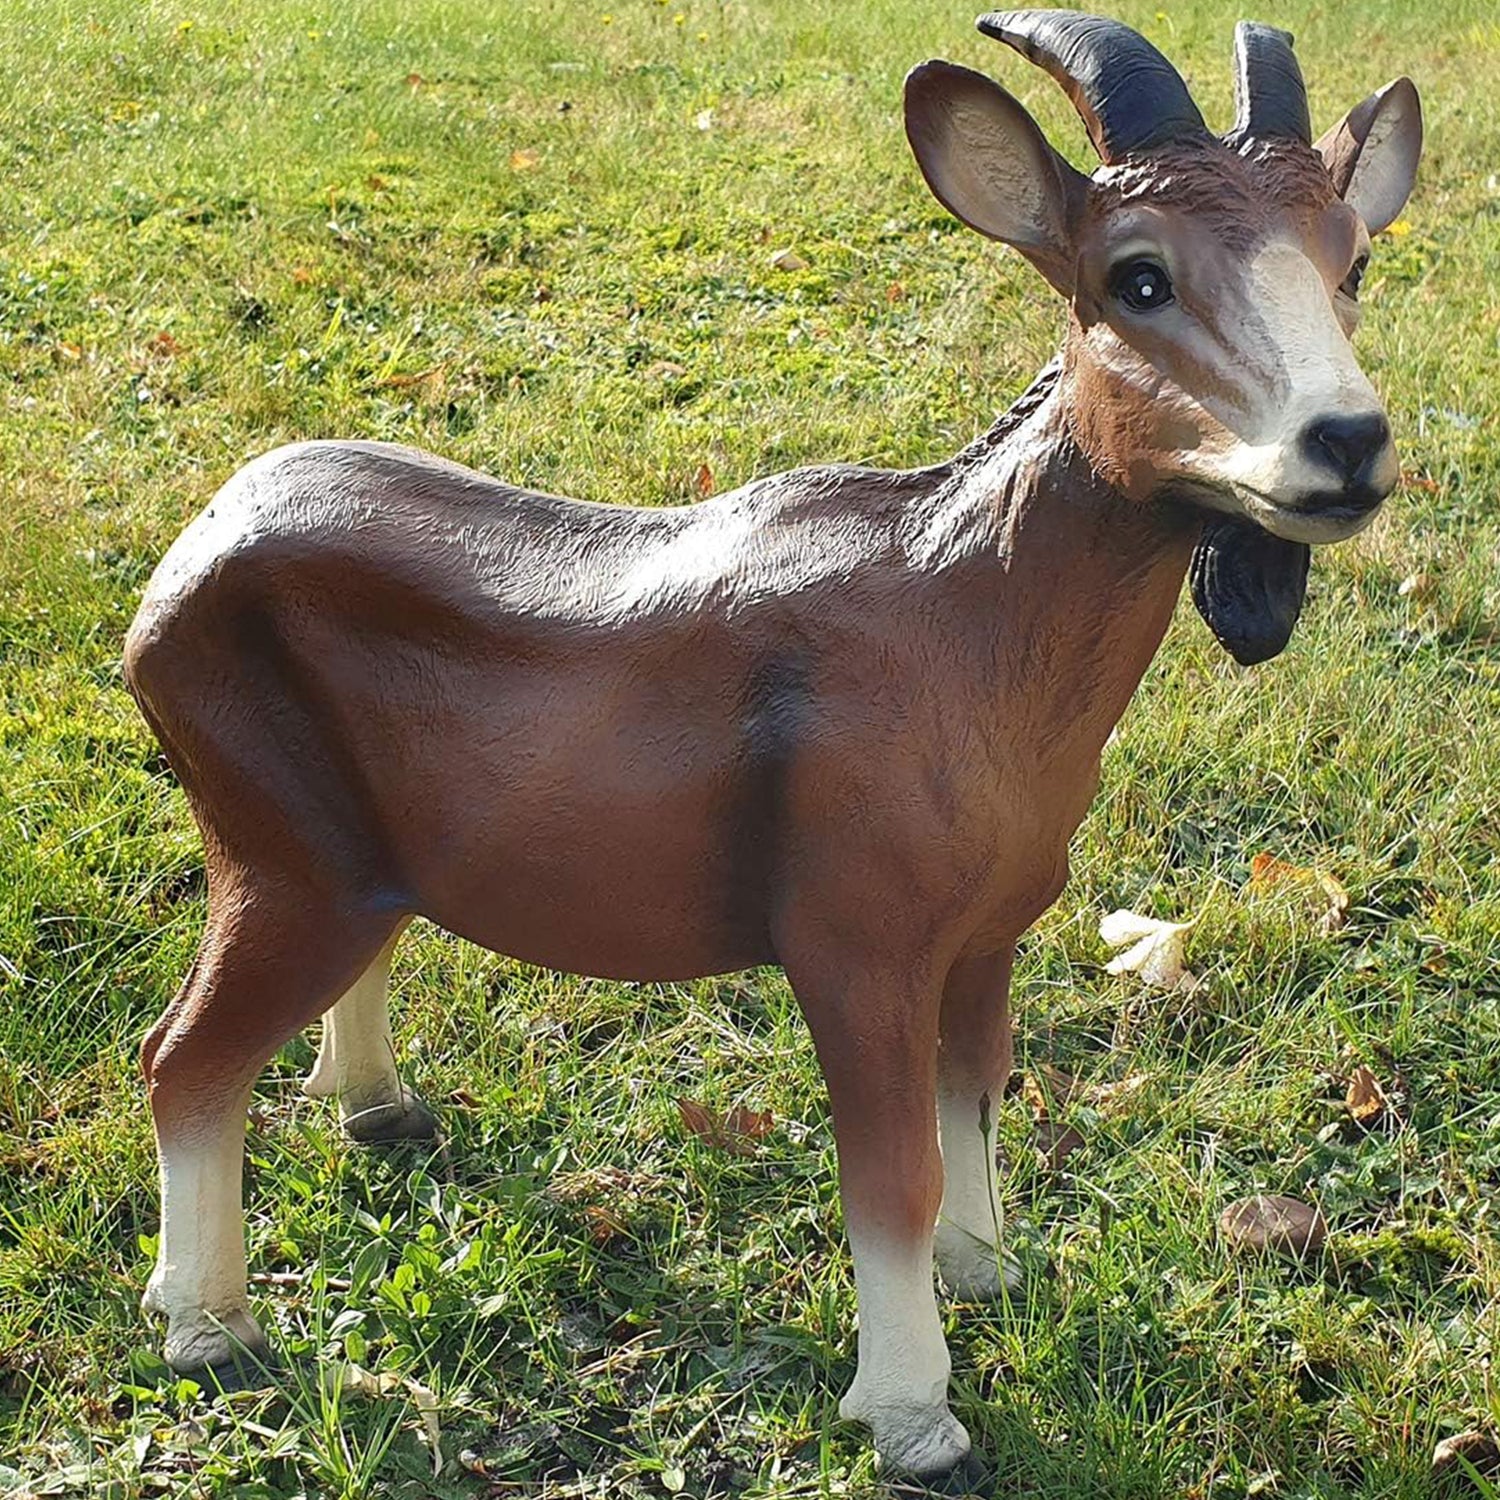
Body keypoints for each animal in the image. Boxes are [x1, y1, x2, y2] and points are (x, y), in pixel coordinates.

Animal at [124, 11, 1421, 1478]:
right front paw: (917, 1416)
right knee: (186, 1059)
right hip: (275, 855)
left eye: (1352, 263)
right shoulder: (854, 942)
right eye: (1134, 277)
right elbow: (890, 1169)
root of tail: (173, 582)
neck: (960, 616)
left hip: (351, 860)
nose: (1347, 443)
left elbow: (977, 1092)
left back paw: (377, 1110)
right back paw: (208, 1328)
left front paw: (987, 1273)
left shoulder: (987, 930)